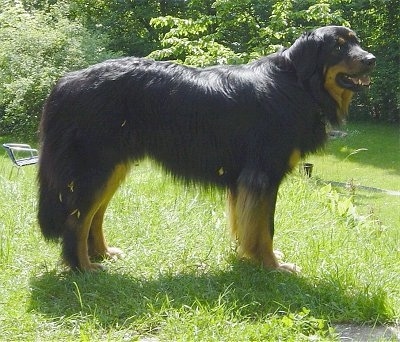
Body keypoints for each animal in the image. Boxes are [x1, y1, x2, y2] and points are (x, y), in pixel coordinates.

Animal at [37, 25, 376, 272]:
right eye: (337, 46)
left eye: (357, 42)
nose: (372, 59)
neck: (295, 84)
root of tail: (65, 83)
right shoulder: (262, 174)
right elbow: (265, 226)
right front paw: (272, 266)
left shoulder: (244, 179)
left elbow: (245, 223)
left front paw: (247, 256)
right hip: (94, 168)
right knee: (76, 219)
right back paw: (83, 267)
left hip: (112, 168)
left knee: (94, 215)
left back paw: (102, 254)